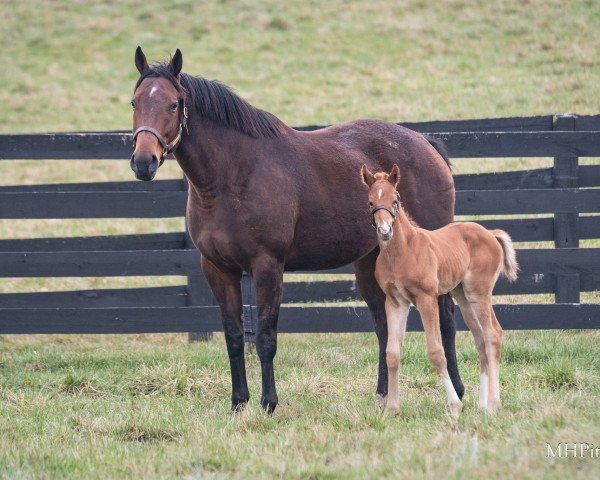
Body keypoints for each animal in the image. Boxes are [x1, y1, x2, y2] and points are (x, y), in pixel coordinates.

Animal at [130, 47, 464, 412]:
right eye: (134, 102)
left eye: (173, 104)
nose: (143, 162)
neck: (235, 174)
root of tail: (425, 143)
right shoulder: (218, 268)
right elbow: (234, 337)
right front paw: (238, 403)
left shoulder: (267, 266)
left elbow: (265, 337)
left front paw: (268, 403)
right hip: (370, 260)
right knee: (383, 324)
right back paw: (383, 395)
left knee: (445, 315)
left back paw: (458, 391)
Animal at [360, 163, 520, 414]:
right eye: (370, 202)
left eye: (395, 200)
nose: (385, 231)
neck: (403, 251)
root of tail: (490, 233)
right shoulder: (395, 301)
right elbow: (392, 353)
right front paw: (392, 409)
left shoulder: (426, 298)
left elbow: (436, 351)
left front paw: (454, 405)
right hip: (463, 296)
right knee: (480, 340)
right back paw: (482, 404)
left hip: (479, 291)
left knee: (493, 333)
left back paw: (494, 404)